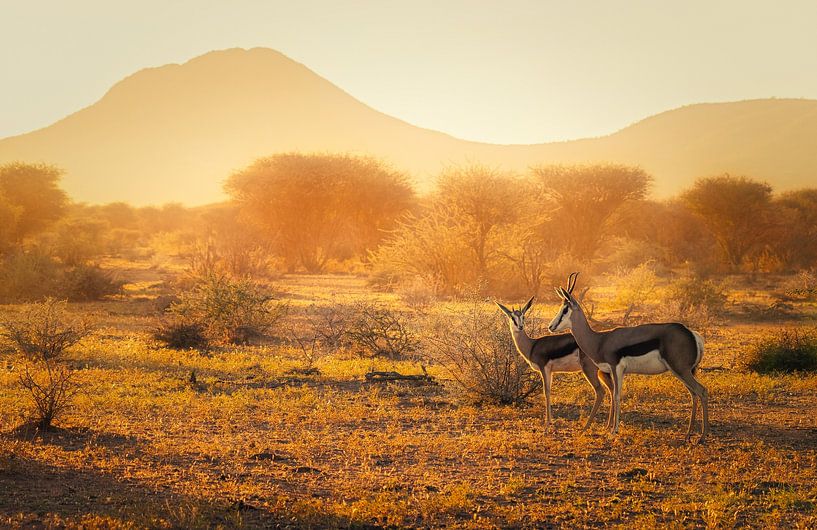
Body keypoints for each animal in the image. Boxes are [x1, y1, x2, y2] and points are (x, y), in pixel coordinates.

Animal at [490, 290, 612, 432]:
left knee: (601, 391)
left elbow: (546, 392)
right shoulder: (551, 371)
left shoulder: (544, 368)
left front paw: (547, 425)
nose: (520, 326)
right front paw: (550, 422)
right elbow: (549, 391)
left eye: (523, 317)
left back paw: (587, 426)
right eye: (512, 318)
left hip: (590, 370)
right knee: (612, 389)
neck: (532, 345)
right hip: (602, 371)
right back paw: (608, 426)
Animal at [548, 272, 708, 442]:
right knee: (694, 394)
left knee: (702, 391)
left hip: (681, 370)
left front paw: (614, 431)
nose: (550, 326)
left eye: (565, 309)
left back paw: (702, 436)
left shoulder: (616, 367)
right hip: (680, 372)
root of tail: (692, 334)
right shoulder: (613, 371)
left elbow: (617, 396)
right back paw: (688, 434)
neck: (599, 340)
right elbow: (614, 394)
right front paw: (610, 429)